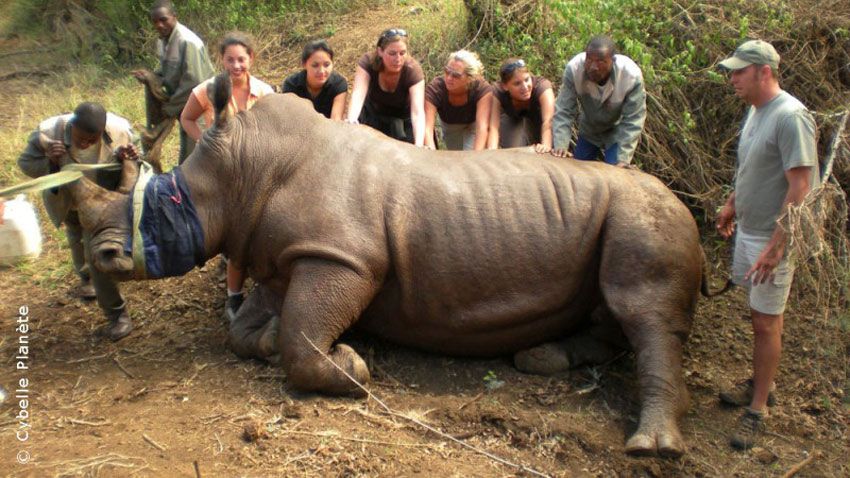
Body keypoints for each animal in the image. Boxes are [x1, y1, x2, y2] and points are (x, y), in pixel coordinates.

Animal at [66, 74, 704, 456]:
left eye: (169, 202)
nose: (102, 255)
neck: (247, 164)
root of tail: (685, 199)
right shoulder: (288, 253)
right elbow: (247, 330)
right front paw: (270, 340)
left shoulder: (343, 256)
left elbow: (303, 339)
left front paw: (350, 367)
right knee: (613, 316)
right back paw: (540, 358)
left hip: (644, 210)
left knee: (642, 310)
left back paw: (652, 447)